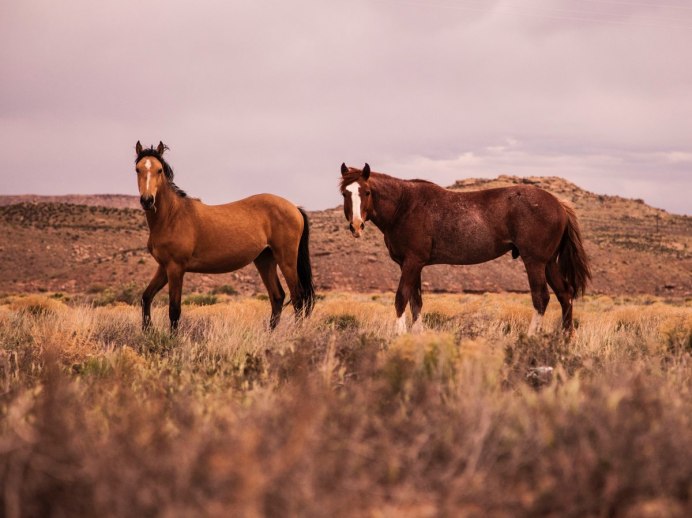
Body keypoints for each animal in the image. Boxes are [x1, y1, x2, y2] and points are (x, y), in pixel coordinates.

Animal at [133, 140, 316, 332]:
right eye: (138, 169)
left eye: (159, 170)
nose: (147, 200)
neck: (172, 216)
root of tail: (294, 207)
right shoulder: (164, 267)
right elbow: (146, 297)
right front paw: (148, 331)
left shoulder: (176, 268)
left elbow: (174, 310)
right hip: (265, 259)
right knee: (277, 297)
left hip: (286, 260)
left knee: (298, 298)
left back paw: (295, 333)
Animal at [340, 165, 588, 340]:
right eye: (344, 193)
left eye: (367, 192)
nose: (356, 226)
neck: (404, 206)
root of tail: (558, 203)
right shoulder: (414, 265)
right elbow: (416, 302)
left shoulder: (411, 263)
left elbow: (401, 298)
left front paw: (398, 335)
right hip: (549, 263)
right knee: (565, 294)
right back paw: (566, 339)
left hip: (534, 262)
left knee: (541, 298)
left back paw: (530, 337)